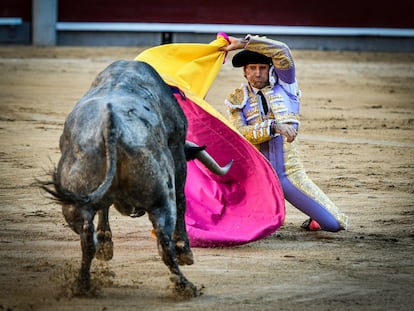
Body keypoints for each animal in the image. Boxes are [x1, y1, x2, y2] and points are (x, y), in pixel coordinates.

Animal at [39, 60, 233, 298]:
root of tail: (111, 125)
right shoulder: (177, 146)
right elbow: (181, 198)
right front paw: (185, 250)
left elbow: (104, 209)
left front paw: (105, 244)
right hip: (160, 199)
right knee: (165, 238)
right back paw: (185, 283)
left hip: (73, 202)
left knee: (86, 236)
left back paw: (83, 284)